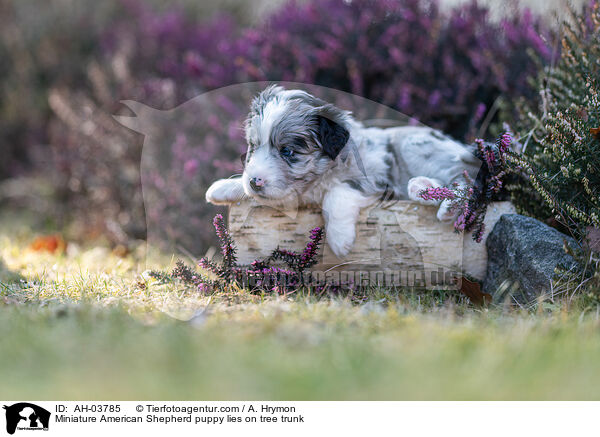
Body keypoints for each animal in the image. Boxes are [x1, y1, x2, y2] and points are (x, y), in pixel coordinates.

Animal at [209, 84, 480, 258]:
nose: (255, 181)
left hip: (416, 147)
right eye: (253, 147)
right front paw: (222, 187)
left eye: (287, 151)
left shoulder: (376, 177)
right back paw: (421, 188)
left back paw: (448, 206)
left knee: (465, 178)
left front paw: (340, 239)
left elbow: (337, 193)